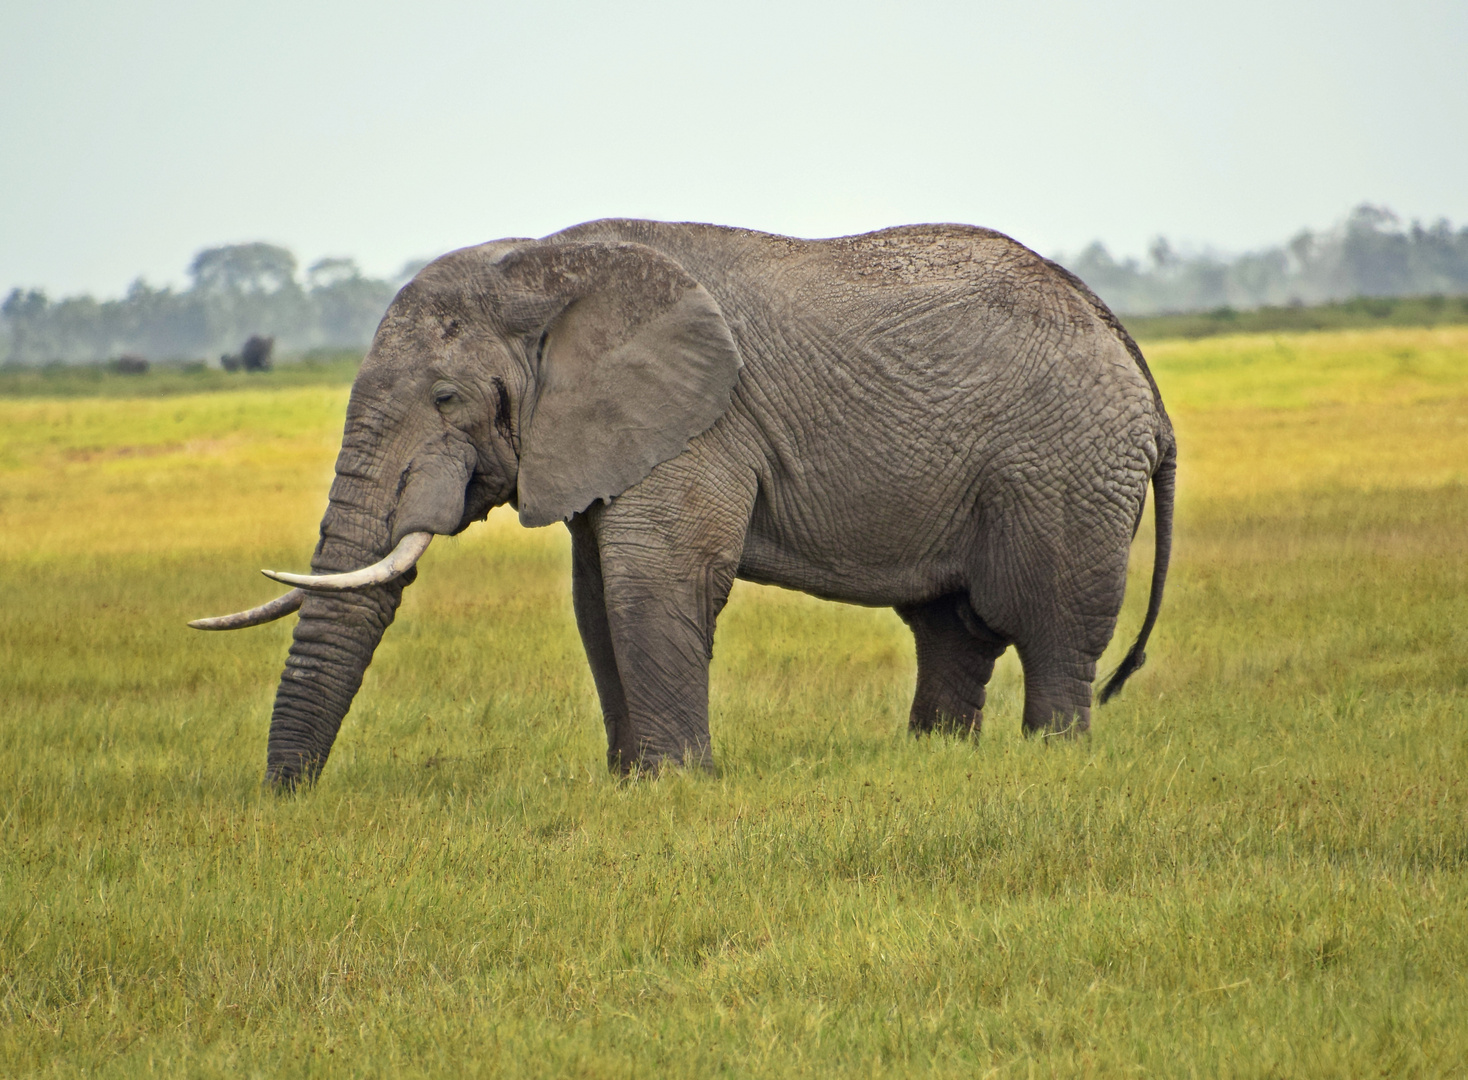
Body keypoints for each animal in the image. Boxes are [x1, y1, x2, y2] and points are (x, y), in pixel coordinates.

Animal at [195, 217, 1174, 786]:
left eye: (445, 398)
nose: (286, 802)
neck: (545, 266)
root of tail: (1136, 361)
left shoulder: (700, 420)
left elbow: (655, 582)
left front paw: (673, 787)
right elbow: (596, 601)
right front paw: (630, 786)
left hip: (1065, 470)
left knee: (1049, 627)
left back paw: (1050, 762)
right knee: (952, 629)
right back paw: (932, 762)